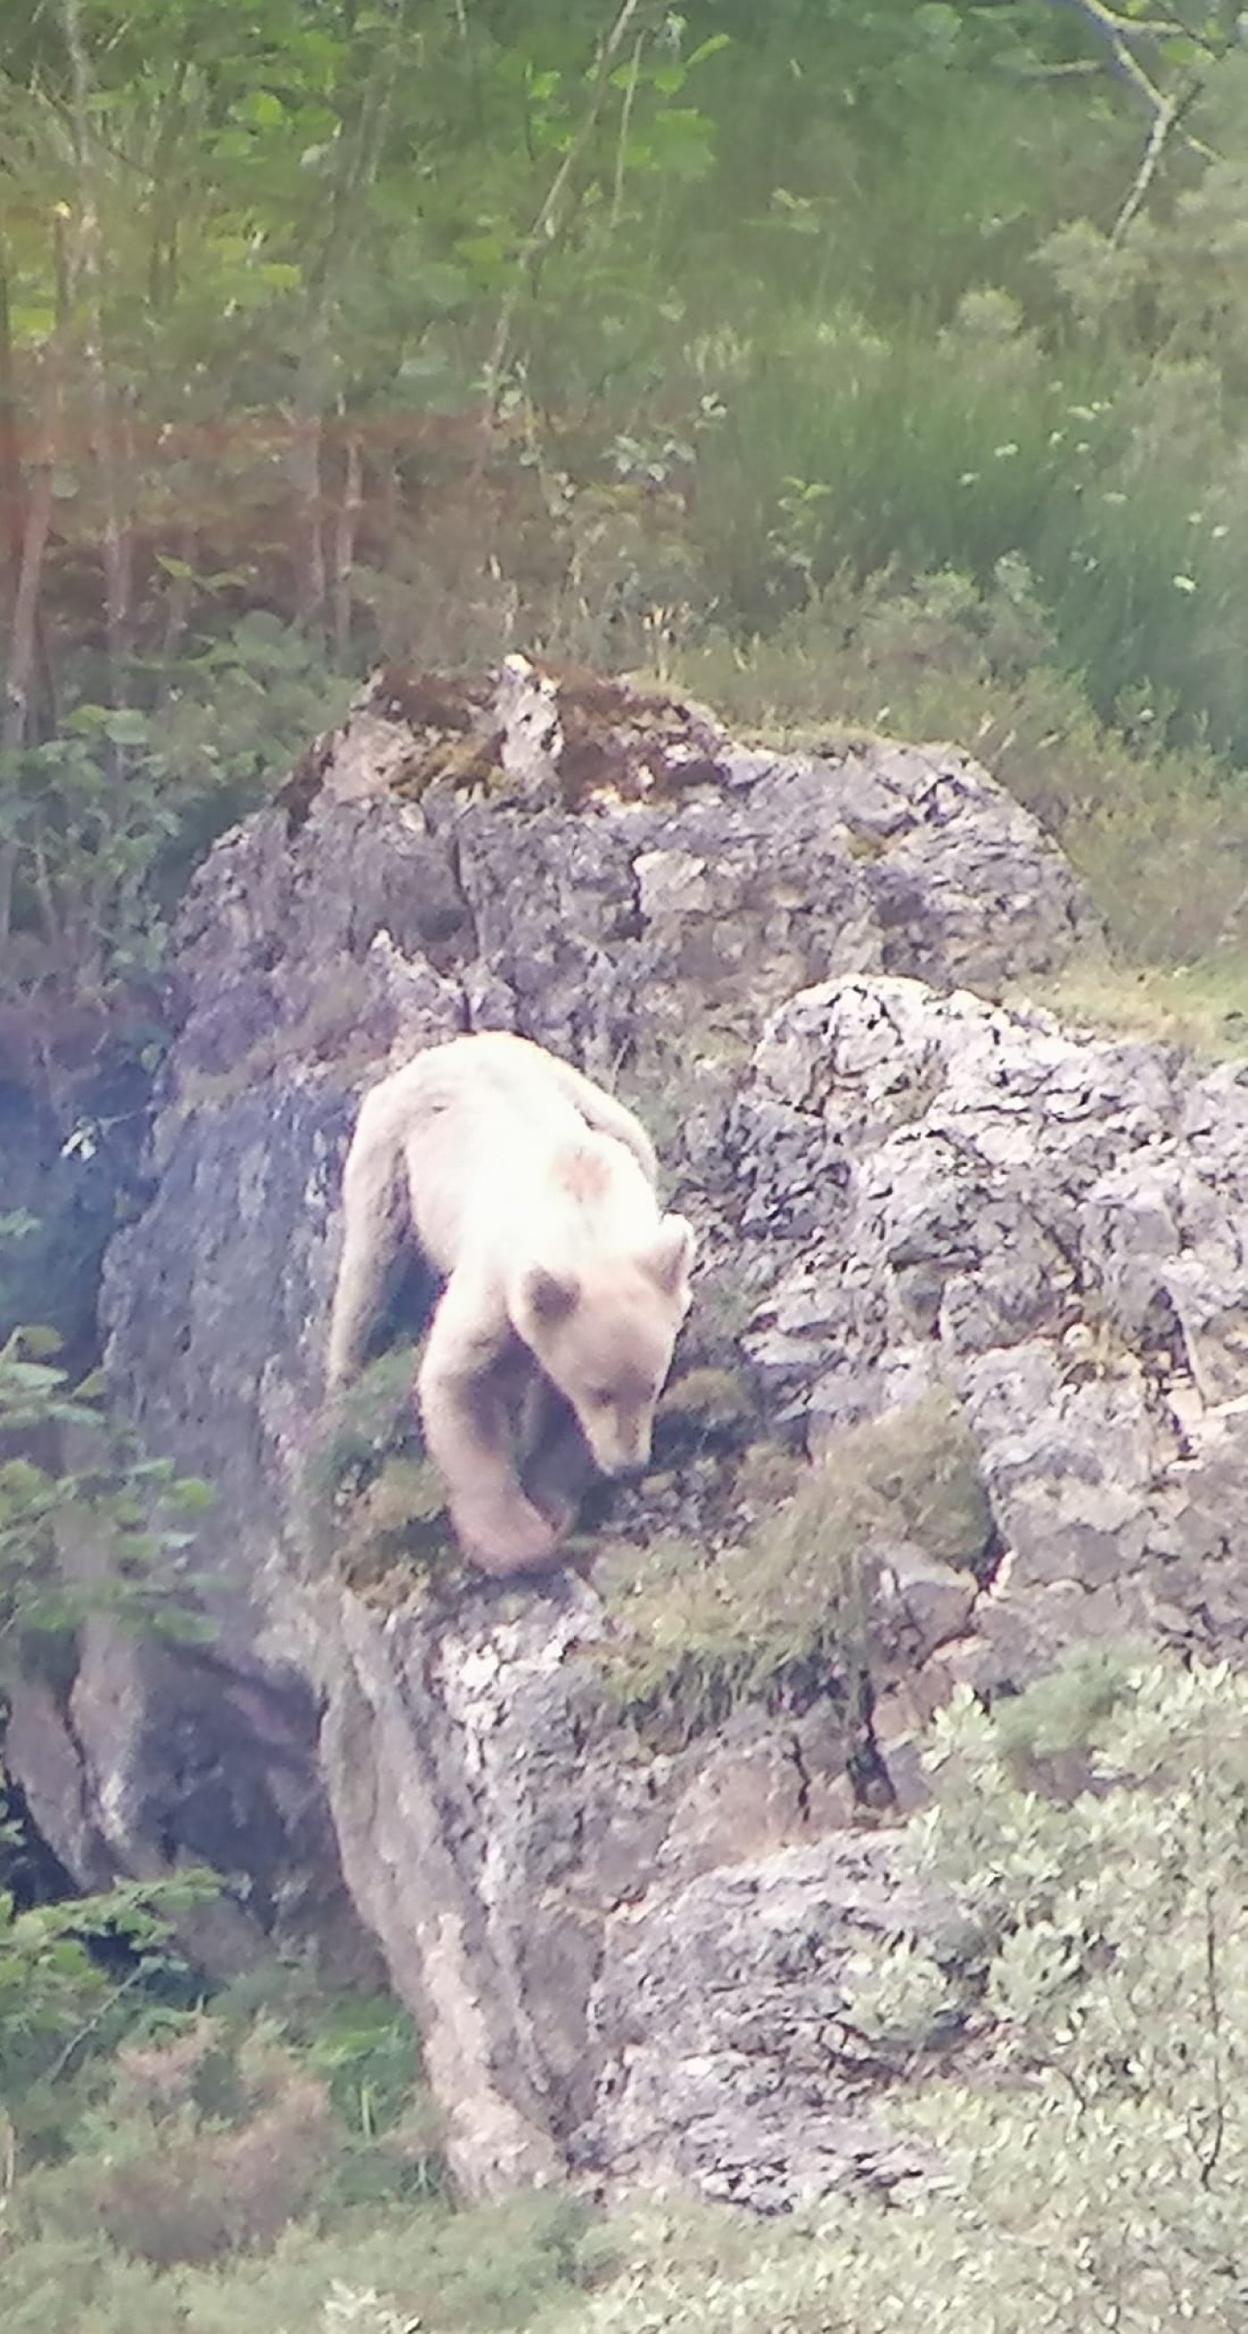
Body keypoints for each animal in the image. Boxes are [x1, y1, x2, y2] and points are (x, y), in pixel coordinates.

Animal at [324, 1031, 695, 1577]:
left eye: (651, 1385)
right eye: (599, 1391)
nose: (629, 1464)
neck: (583, 1208)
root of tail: (450, 1047)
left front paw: (551, 1498)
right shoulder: (499, 1282)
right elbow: (462, 1383)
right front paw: (515, 1542)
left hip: (592, 1100)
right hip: (388, 1155)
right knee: (371, 1266)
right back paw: (345, 1374)